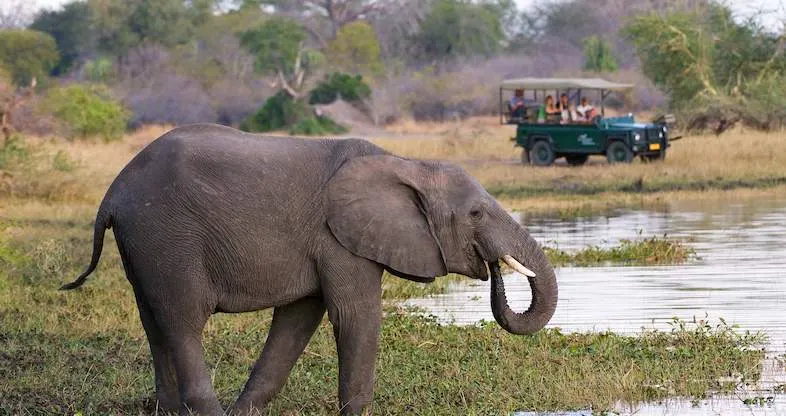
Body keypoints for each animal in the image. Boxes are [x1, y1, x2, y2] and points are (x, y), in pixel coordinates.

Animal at [61, 123, 558, 415]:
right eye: (475, 214)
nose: (493, 269)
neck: (405, 163)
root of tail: (114, 191)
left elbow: (299, 319)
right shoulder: (338, 238)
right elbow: (356, 317)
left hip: (144, 244)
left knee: (155, 323)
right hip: (167, 237)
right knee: (182, 322)